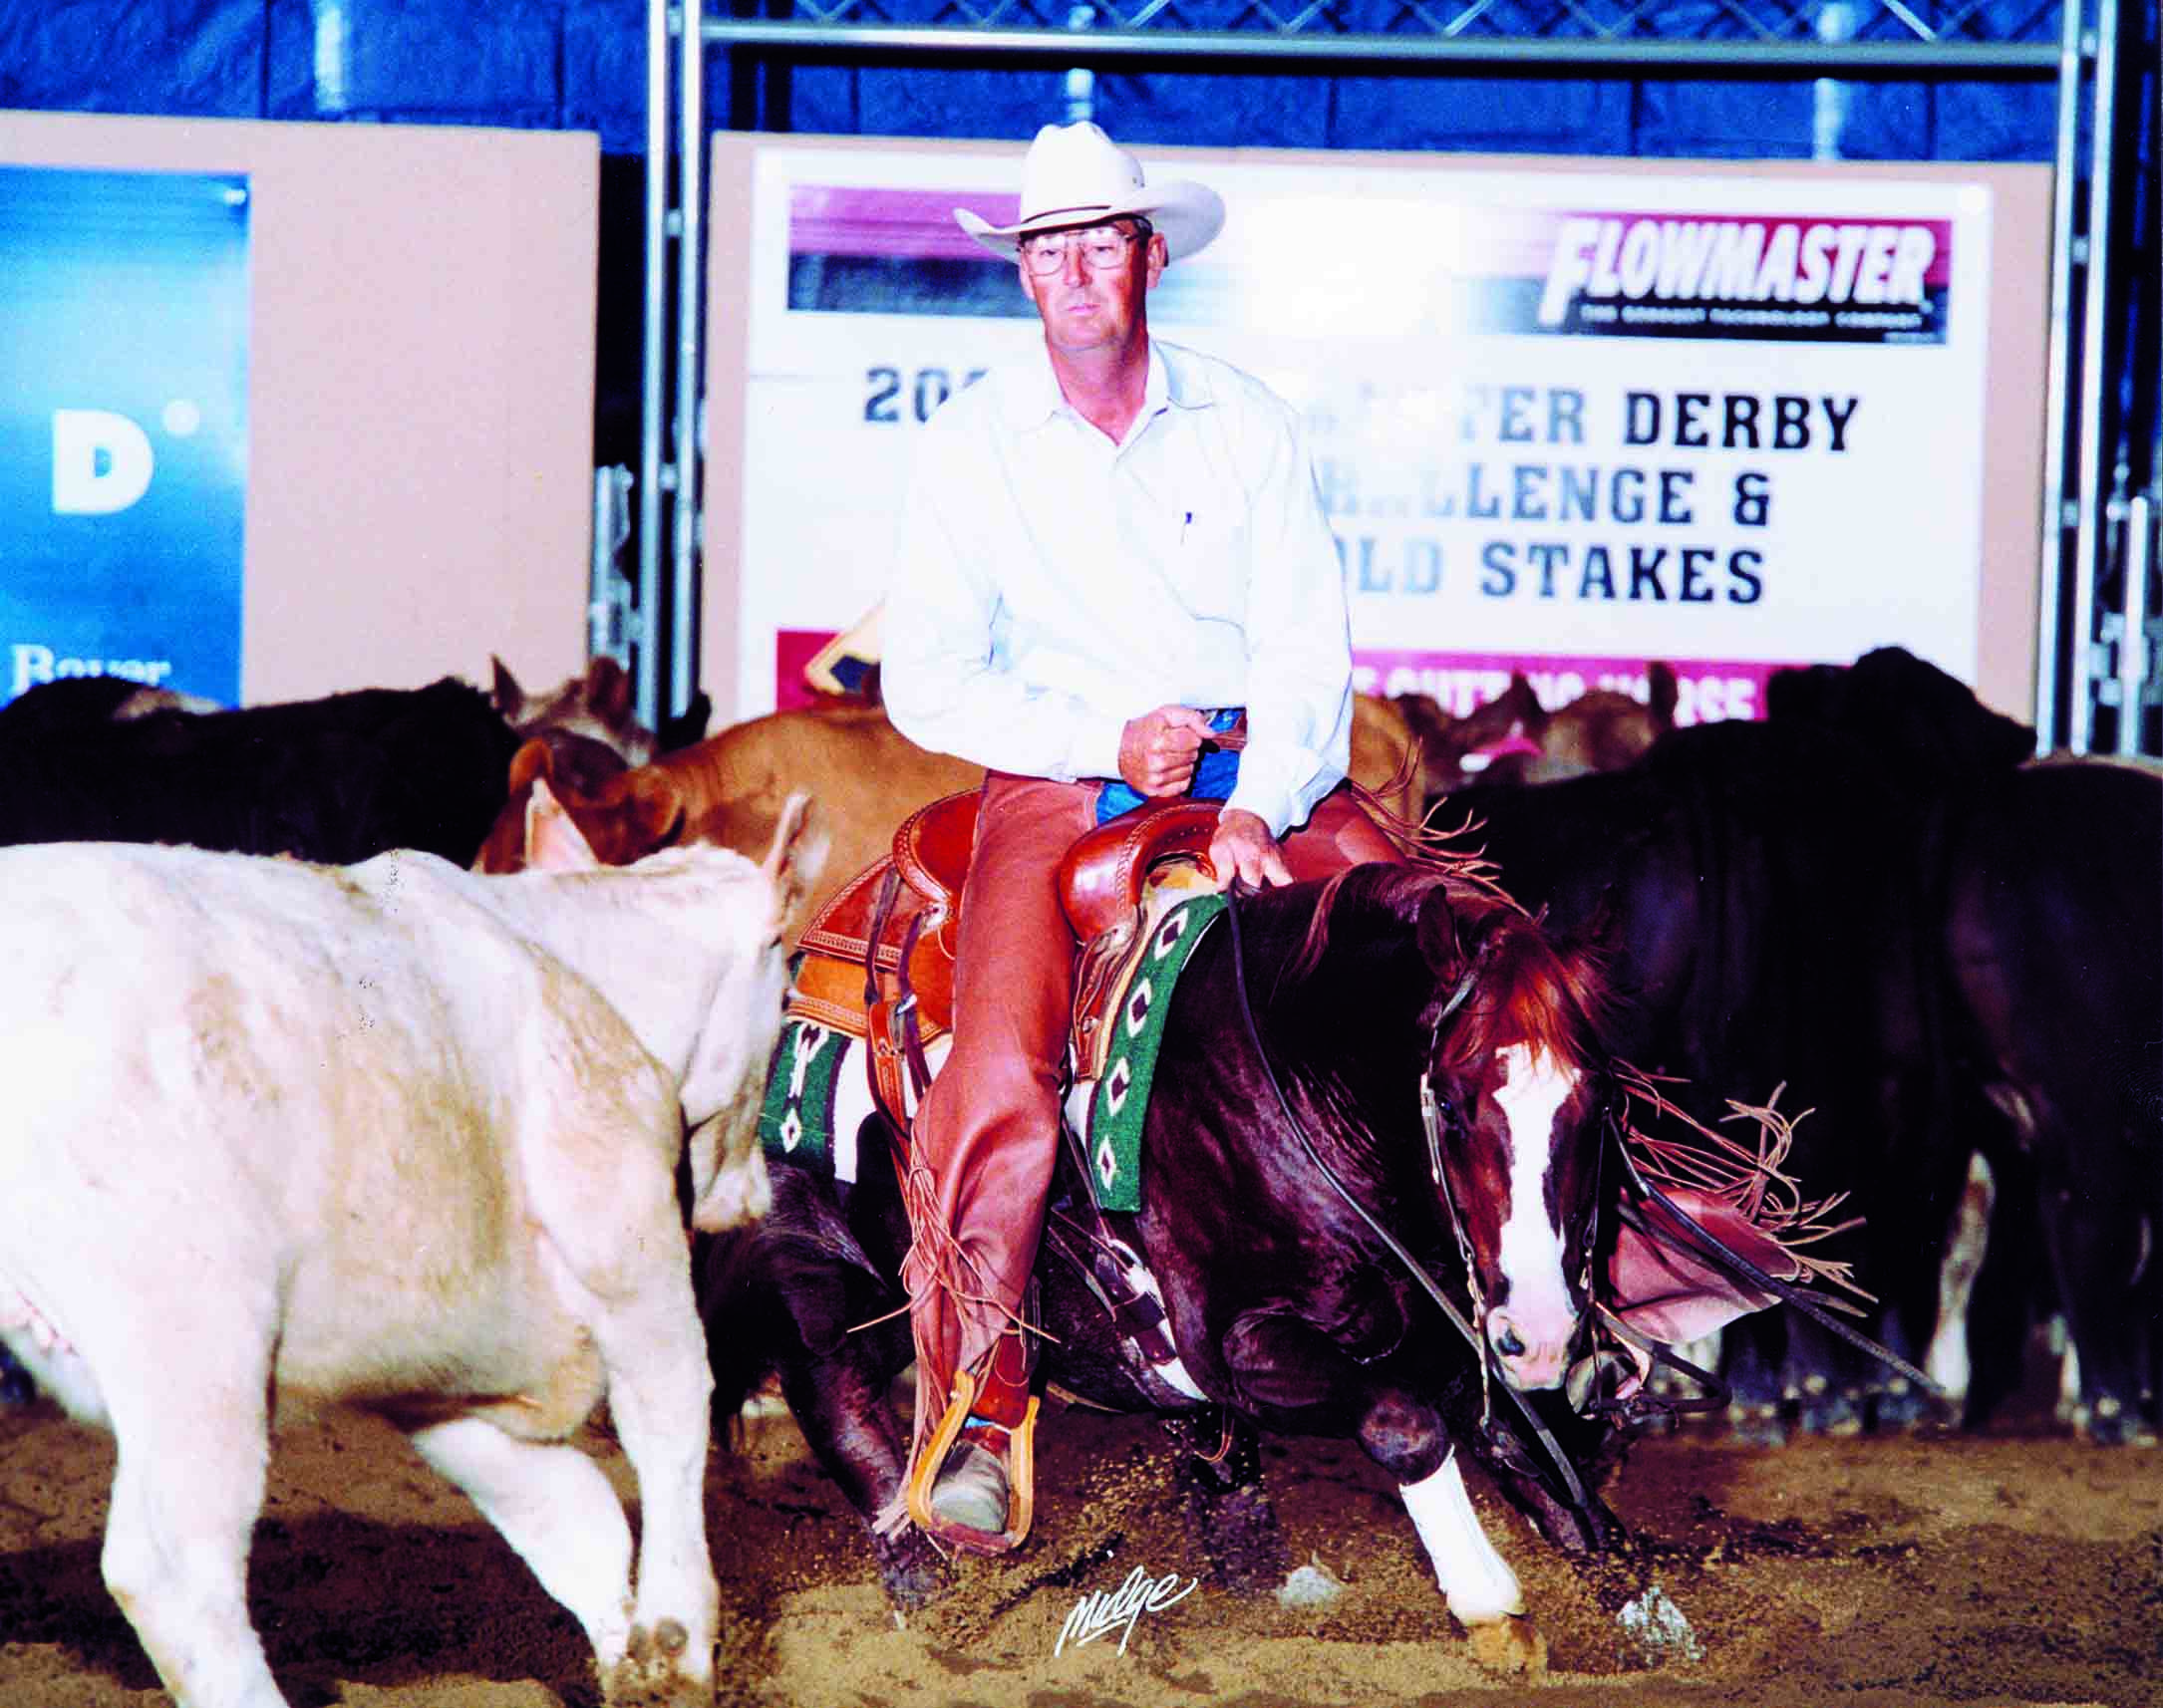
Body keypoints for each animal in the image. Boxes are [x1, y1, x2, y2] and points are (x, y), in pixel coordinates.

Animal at [0, 786, 812, 1708]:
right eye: (785, 989)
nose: (754, 1193)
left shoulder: (443, 1367)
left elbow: (570, 1518)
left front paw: (625, 1660)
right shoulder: (629, 1252)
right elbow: (667, 1426)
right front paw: (676, 1649)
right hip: (191, 1327)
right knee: (175, 1572)